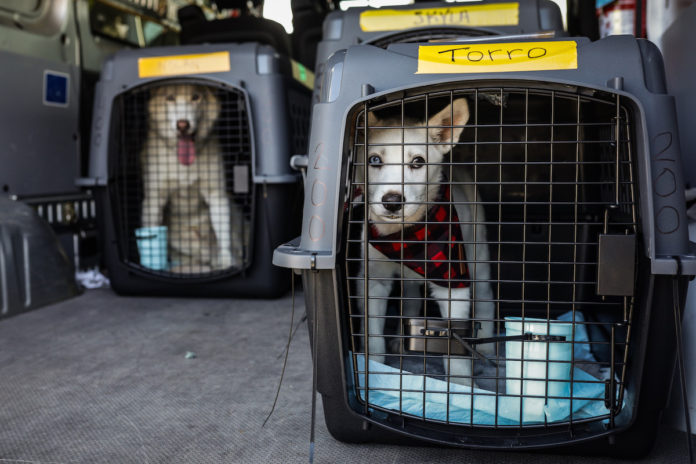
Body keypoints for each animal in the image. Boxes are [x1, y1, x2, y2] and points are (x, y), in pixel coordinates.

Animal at [140, 83, 246, 274]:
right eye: (170, 98)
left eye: (196, 97)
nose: (183, 125)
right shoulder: (153, 200)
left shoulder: (217, 196)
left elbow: (224, 238)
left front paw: (226, 262)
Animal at [358, 97, 494, 388]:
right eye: (374, 160)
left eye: (418, 162)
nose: (392, 201)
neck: (405, 236)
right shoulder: (372, 281)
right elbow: (373, 336)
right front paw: (373, 370)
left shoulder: (453, 281)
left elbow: (455, 345)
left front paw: (462, 387)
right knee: (410, 302)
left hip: (477, 253)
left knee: (486, 298)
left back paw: (489, 350)